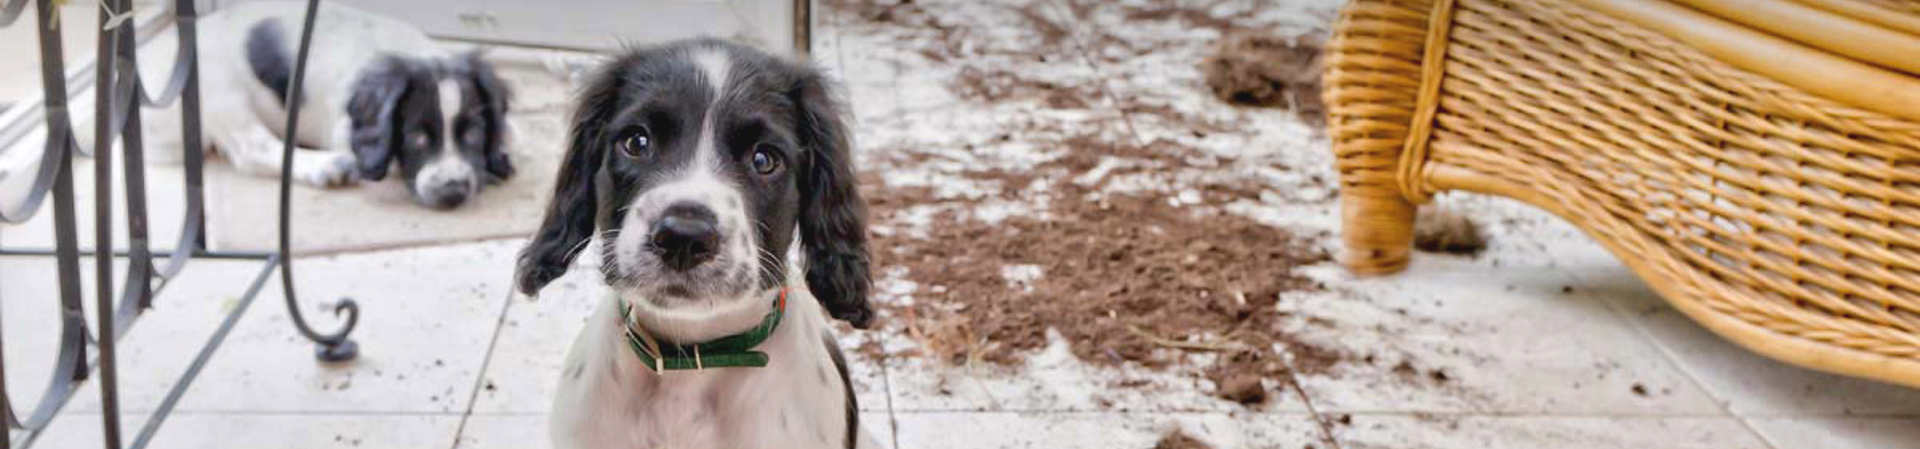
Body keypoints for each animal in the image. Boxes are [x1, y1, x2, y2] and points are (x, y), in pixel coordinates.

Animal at [76, 0, 510, 209]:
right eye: (417, 138)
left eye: (473, 133)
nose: (453, 191)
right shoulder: (346, 128)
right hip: (217, 90)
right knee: (252, 150)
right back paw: (326, 168)